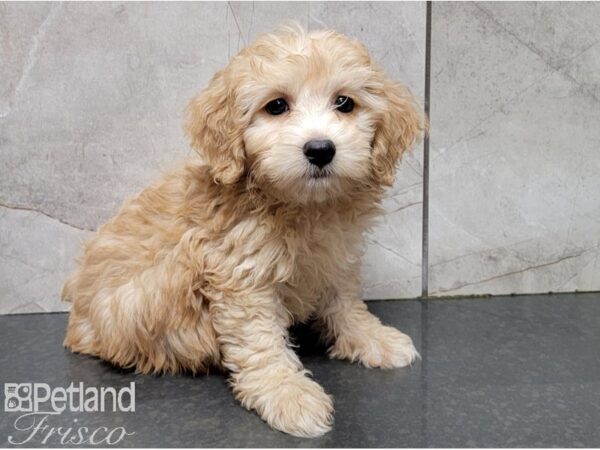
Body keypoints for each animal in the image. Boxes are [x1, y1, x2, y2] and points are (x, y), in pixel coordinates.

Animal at [62, 25, 422, 440]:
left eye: (345, 103)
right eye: (277, 106)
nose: (320, 149)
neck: (303, 207)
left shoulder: (336, 258)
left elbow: (345, 303)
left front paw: (371, 337)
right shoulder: (242, 276)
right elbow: (260, 342)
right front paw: (287, 394)